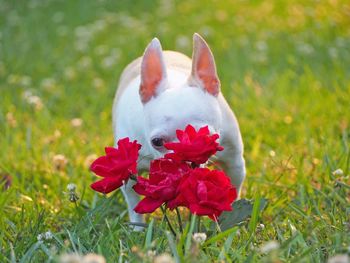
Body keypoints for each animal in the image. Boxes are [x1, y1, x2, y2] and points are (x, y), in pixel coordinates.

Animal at [113, 33, 246, 227]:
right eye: (157, 142)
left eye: (207, 138)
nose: (183, 161)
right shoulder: (128, 170)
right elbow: (133, 204)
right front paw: (137, 229)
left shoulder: (234, 162)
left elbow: (233, 193)